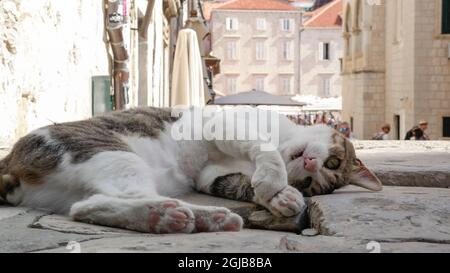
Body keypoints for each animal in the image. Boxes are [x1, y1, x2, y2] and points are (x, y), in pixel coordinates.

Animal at [0, 106, 382, 232]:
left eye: (311, 183)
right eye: (333, 161)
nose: (309, 163)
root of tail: (9, 164)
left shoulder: (211, 175)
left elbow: (239, 182)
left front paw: (282, 197)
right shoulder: (223, 123)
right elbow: (264, 148)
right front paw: (274, 180)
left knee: (86, 206)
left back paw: (199, 218)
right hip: (108, 151)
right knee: (90, 205)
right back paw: (173, 216)